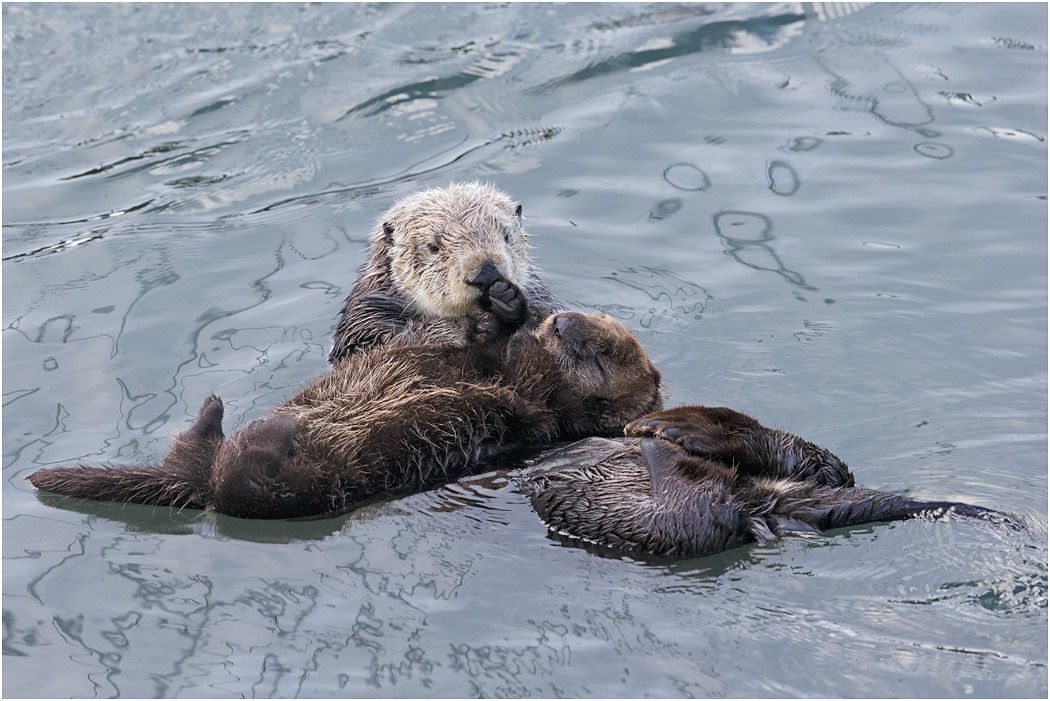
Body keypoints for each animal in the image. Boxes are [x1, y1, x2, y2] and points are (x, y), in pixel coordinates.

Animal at [30, 311, 662, 520]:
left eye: (602, 354)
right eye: (580, 318)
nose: (561, 323)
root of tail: (204, 483)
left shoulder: (540, 414)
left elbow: (535, 402)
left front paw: (527, 342)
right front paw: (509, 317)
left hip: (306, 487)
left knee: (248, 485)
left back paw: (271, 432)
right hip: (211, 466)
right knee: (192, 452)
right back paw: (223, 415)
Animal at [328, 182, 565, 363]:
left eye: (506, 236)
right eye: (433, 247)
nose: (487, 275)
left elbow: (551, 312)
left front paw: (508, 299)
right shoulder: (367, 310)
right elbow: (372, 346)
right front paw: (472, 326)